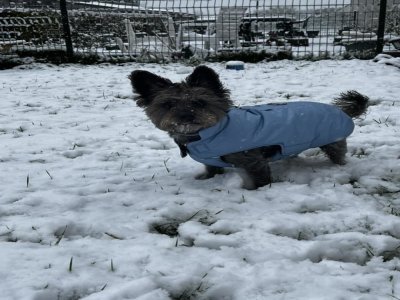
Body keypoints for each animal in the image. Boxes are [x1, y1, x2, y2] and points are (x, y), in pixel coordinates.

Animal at [129, 65, 368, 189]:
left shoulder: (253, 159)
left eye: (200, 102)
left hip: (333, 143)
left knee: (339, 155)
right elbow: (212, 169)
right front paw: (207, 179)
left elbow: (261, 178)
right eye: (168, 104)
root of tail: (341, 110)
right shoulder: (211, 160)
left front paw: (254, 190)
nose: (186, 116)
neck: (207, 135)